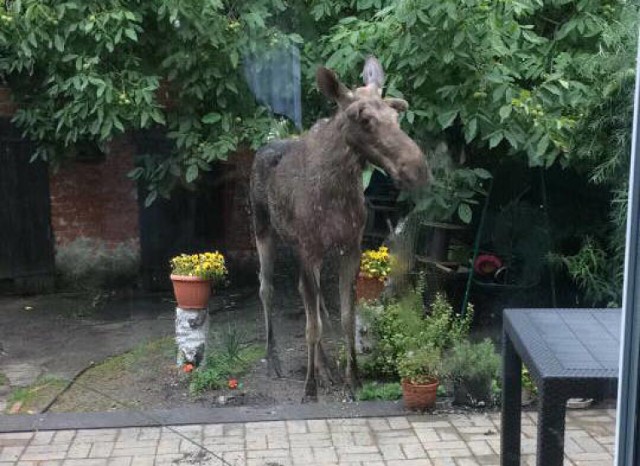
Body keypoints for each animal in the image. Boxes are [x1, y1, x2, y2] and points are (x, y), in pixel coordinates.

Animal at [251, 55, 430, 400]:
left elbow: (345, 318)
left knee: (307, 297)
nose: (418, 169)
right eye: (365, 119)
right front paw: (309, 388)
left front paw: (353, 379)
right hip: (262, 228)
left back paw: (325, 369)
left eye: (395, 115)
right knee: (266, 288)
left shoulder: (350, 248)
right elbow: (313, 326)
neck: (338, 189)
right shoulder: (309, 250)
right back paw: (274, 360)